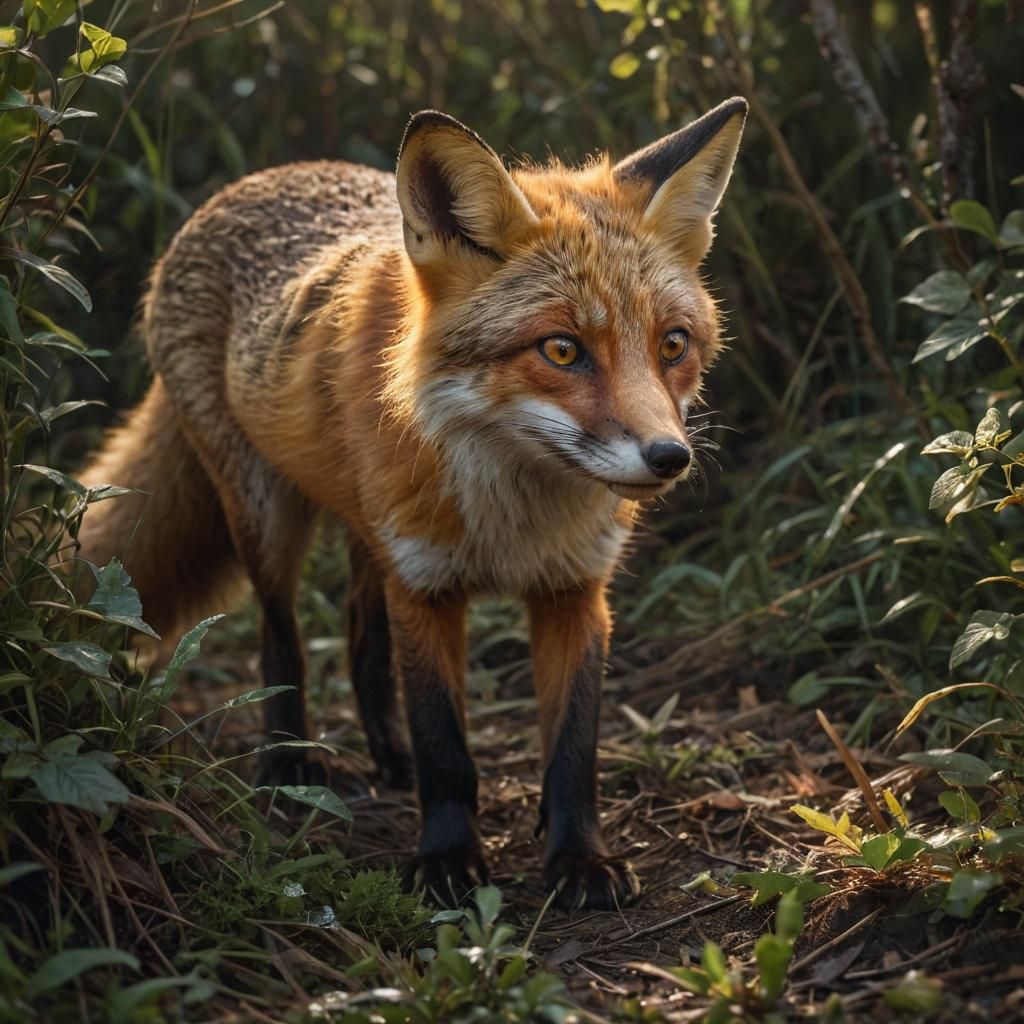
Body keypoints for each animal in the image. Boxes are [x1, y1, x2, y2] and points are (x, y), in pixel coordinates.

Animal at [75, 97, 747, 910]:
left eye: (672, 344)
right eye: (561, 350)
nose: (669, 457)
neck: (512, 518)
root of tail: (250, 182)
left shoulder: (573, 591)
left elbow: (572, 748)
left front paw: (580, 860)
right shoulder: (426, 587)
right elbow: (445, 747)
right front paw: (448, 861)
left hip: (372, 537)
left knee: (361, 636)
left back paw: (385, 755)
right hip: (269, 520)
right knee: (282, 636)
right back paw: (286, 762)